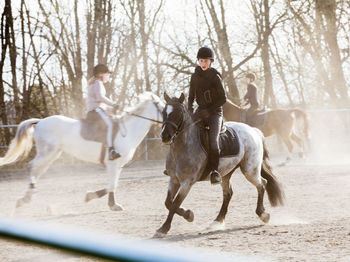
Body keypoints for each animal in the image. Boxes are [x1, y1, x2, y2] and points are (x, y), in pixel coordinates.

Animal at [0, 92, 165, 211]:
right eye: (164, 108)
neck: (128, 131)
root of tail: (40, 121)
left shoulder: (118, 165)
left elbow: (113, 184)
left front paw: (113, 205)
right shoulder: (113, 163)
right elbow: (111, 185)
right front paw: (90, 196)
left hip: (51, 154)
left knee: (37, 171)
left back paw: (28, 197)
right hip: (47, 152)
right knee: (31, 167)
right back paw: (27, 197)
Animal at [156, 93, 284, 237]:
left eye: (178, 113)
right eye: (164, 112)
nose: (165, 136)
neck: (182, 147)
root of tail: (253, 130)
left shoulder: (187, 183)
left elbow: (174, 204)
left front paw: (166, 227)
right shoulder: (174, 180)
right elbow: (168, 203)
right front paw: (186, 214)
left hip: (250, 170)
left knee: (262, 184)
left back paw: (263, 214)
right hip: (226, 172)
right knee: (228, 193)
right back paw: (217, 221)